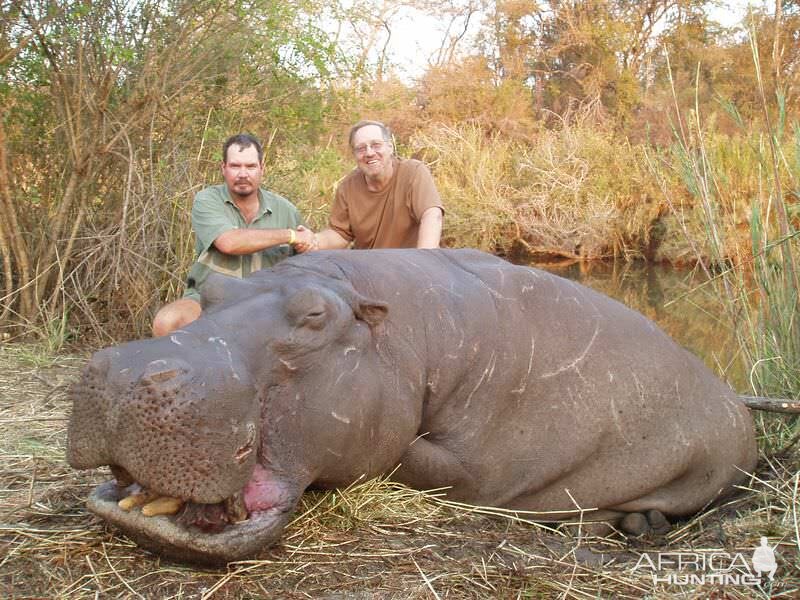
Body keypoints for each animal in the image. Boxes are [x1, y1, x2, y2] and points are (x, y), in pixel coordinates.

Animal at [67, 247, 756, 564]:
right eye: (209, 289)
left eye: (314, 317)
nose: (126, 370)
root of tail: (735, 398)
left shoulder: (471, 464)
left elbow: (405, 460)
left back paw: (631, 526)